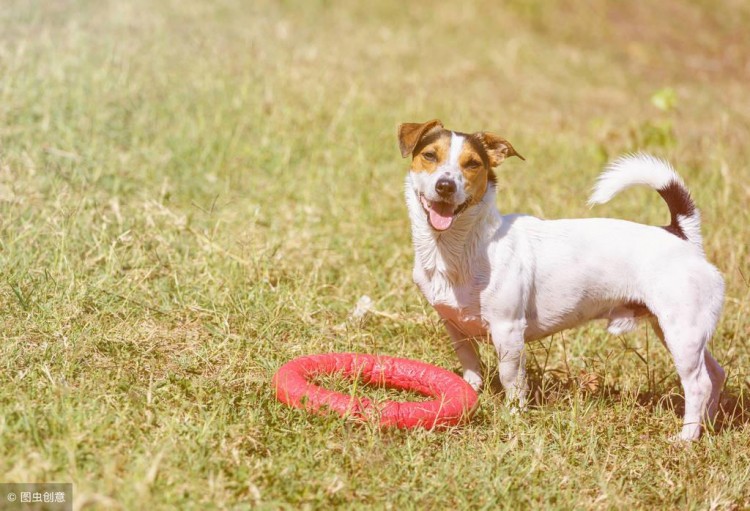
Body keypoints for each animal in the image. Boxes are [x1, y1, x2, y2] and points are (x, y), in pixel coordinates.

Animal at [400, 120, 728, 440]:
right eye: (429, 156)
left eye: (472, 164)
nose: (445, 185)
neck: (459, 247)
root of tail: (682, 234)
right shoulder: (455, 327)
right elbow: (470, 366)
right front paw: (470, 393)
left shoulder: (508, 331)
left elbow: (512, 380)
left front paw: (514, 418)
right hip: (679, 330)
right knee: (716, 374)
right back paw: (708, 426)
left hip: (681, 332)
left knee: (698, 384)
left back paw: (687, 437)